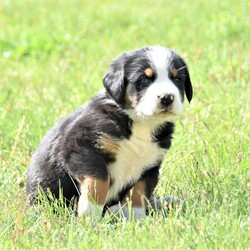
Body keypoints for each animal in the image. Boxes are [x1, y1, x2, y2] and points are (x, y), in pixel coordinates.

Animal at [25, 45, 193, 219]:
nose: (167, 97)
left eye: (177, 79)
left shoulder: (151, 164)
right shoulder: (82, 146)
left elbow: (139, 190)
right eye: (145, 80)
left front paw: (135, 216)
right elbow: (99, 180)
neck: (140, 123)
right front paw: (90, 212)